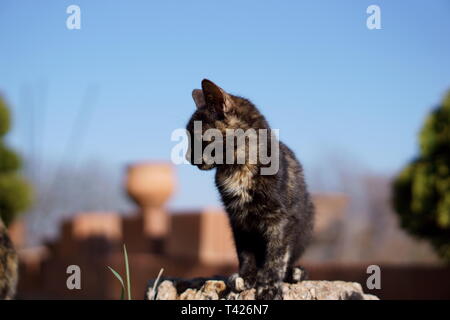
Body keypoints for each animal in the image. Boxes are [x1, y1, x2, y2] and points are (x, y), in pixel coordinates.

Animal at [185, 80, 312, 300]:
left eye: (199, 137)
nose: (187, 157)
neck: (239, 167)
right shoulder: (237, 218)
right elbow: (244, 251)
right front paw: (246, 277)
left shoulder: (280, 218)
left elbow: (276, 255)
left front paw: (269, 286)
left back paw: (295, 272)